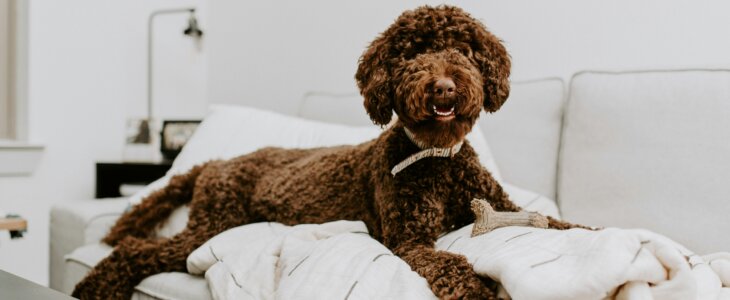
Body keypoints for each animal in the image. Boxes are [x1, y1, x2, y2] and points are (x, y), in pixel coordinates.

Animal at [75, 5, 580, 300]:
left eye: (463, 47)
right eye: (410, 53)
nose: (444, 87)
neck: (438, 158)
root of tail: (216, 162)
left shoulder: (504, 205)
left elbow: (563, 225)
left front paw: (585, 229)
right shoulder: (409, 240)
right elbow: (448, 264)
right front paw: (476, 287)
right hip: (211, 224)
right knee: (137, 248)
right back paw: (95, 285)